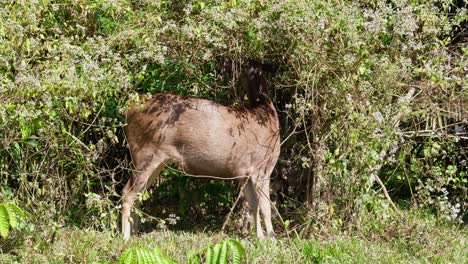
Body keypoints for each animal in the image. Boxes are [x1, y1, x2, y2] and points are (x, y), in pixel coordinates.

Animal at [121, 63, 282, 239]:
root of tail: (129, 108)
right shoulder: (263, 165)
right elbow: (266, 207)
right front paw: (272, 238)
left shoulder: (244, 173)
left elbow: (254, 205)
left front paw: (260, 237)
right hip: (144, 153)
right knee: (127, 193)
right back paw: (126, 237)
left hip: (156, 161)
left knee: (138, 195)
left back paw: (135, 232)